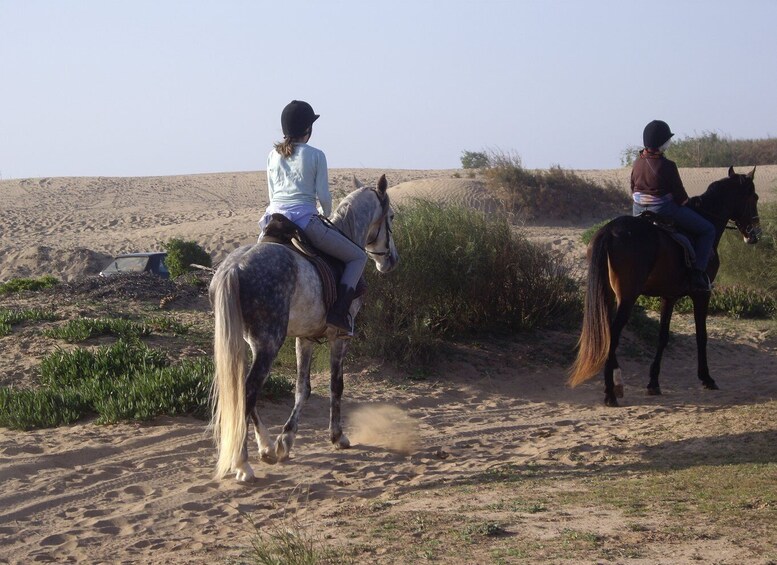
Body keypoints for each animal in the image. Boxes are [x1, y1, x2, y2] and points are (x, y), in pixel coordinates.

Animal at [209, 175, 398, 480]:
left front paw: (285, 441)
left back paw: (265, 447)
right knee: (248, 391)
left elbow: (302, 389)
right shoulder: (340, 337)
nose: (391, 260)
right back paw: (243, 464)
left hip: (248, 343)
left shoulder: (305, 338)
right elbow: (336, 385)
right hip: (268, 343)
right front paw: (337, 436)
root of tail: (234, 267)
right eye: (391, 216)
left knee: (244, 391)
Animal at [568, 167, 756, 406]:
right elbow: (701, 335)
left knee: (608, 332)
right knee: (613, 335)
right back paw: (610, 392)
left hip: (608, 295)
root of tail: (610, 230)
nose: (754, 235)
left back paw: (617, 384)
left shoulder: (669, 296)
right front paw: (706, 378)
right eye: (754, 197)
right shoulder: (701, 295)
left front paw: (653, 382)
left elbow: (663, 337)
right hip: (627, 297)